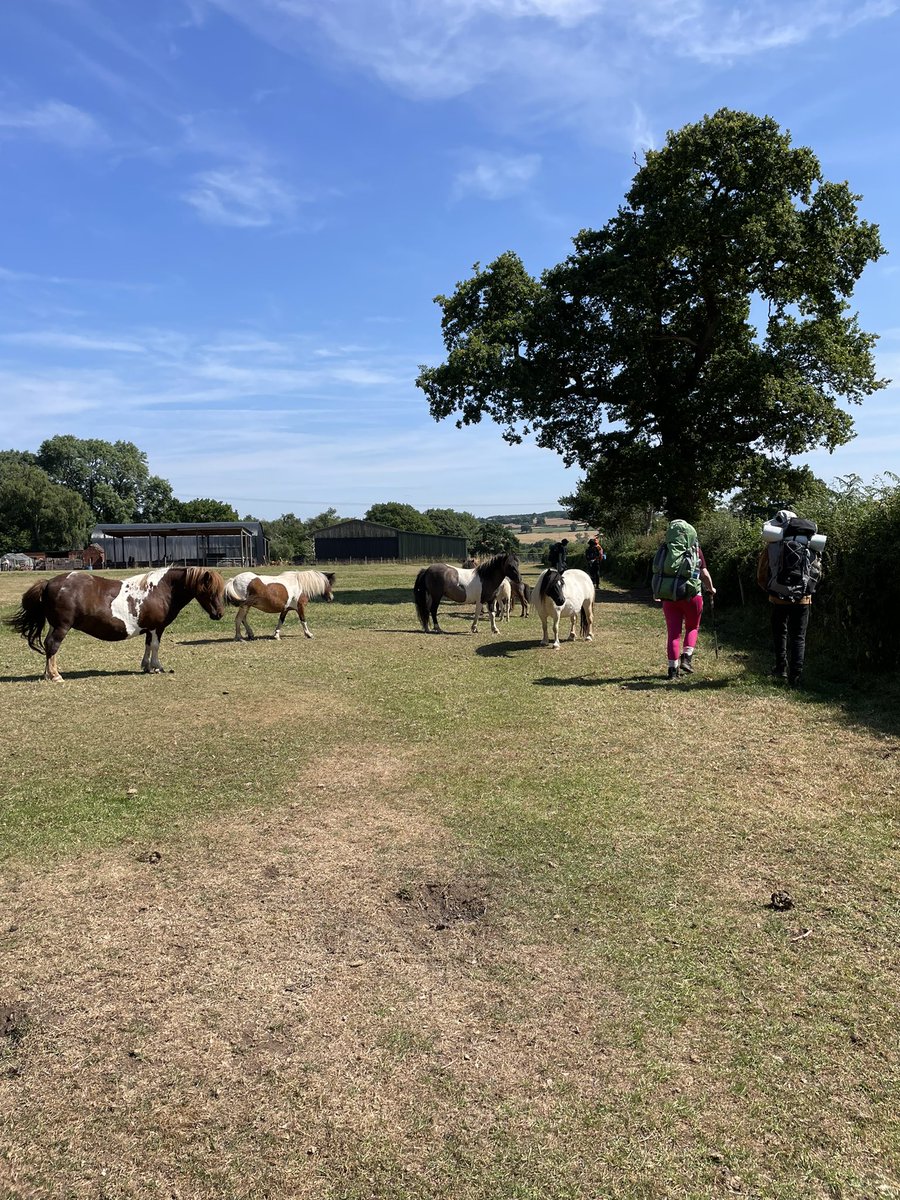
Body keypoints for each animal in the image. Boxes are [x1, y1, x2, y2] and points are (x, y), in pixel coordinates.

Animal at [8, 564, 226, 681]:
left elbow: (148, 646)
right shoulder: (157, 627)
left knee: (48, 646)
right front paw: (157, 667)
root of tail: (49, 583)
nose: (219, 614)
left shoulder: (149, 628)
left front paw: (146, 666)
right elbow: (155, 646)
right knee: (53, 645)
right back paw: (55, 675)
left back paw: (49, 673)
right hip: (62, 626)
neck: (160, 590)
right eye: (209, 590)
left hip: (54, 625)